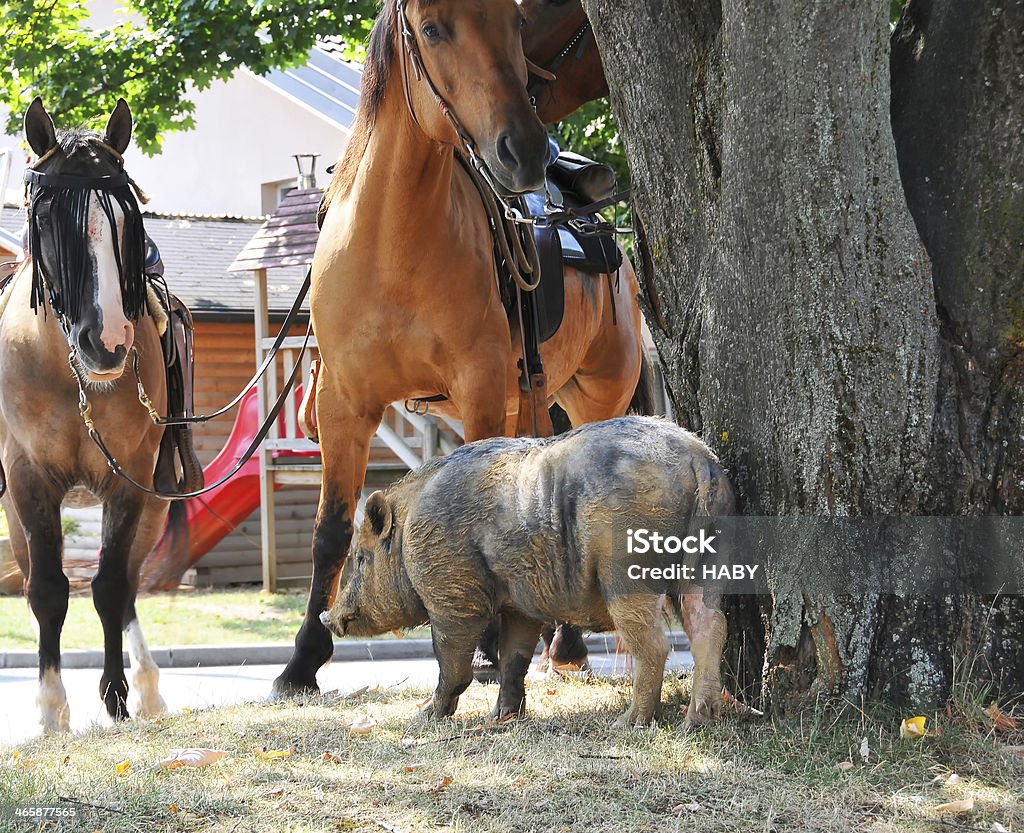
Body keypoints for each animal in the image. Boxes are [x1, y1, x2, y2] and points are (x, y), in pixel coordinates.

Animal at [0, 100, 167, 729]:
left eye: (126, 222)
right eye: (48, 222)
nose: (109, 343)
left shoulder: (131, 479)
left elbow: (111, 587)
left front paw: (116, 697)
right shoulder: (28, 480)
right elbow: (48, 590)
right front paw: (51, 709)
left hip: (154, 504)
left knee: (130, 583)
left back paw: (148, 687)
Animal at [268, 0, 643, 696]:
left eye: (514, 22)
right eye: (433, 29)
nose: (523, 150)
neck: (392, 241)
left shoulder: (478, 387)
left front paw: (487, 646)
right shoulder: (342, 402)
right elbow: (331, 530)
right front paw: (302, 660)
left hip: (594, 396)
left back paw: (564, 645)